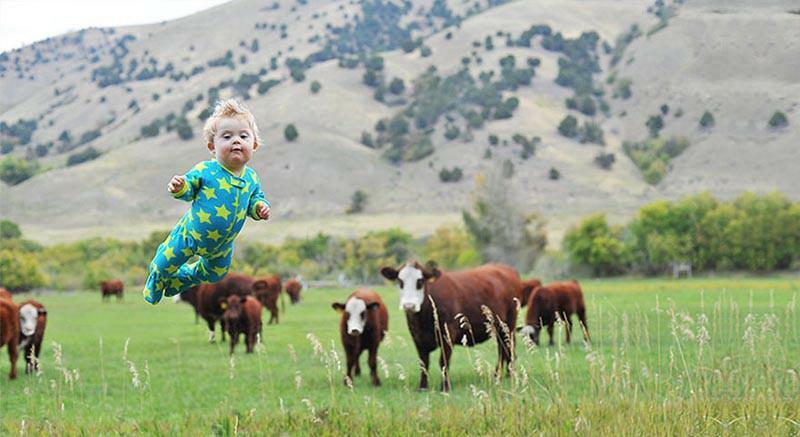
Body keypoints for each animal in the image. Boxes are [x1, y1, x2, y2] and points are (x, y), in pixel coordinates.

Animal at [382, 260, 524, 390]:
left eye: (420, 281)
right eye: (400, 281)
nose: (409, 305)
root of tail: (506, 268)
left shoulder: (448, 332)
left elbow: (443, 361)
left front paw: (445, 387)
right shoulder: (417, 336)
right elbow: (423, 362)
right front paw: (422, 387)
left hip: (509, 324)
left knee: (508, 348)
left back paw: (505, 375)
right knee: (503, 349)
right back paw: (502, 374)